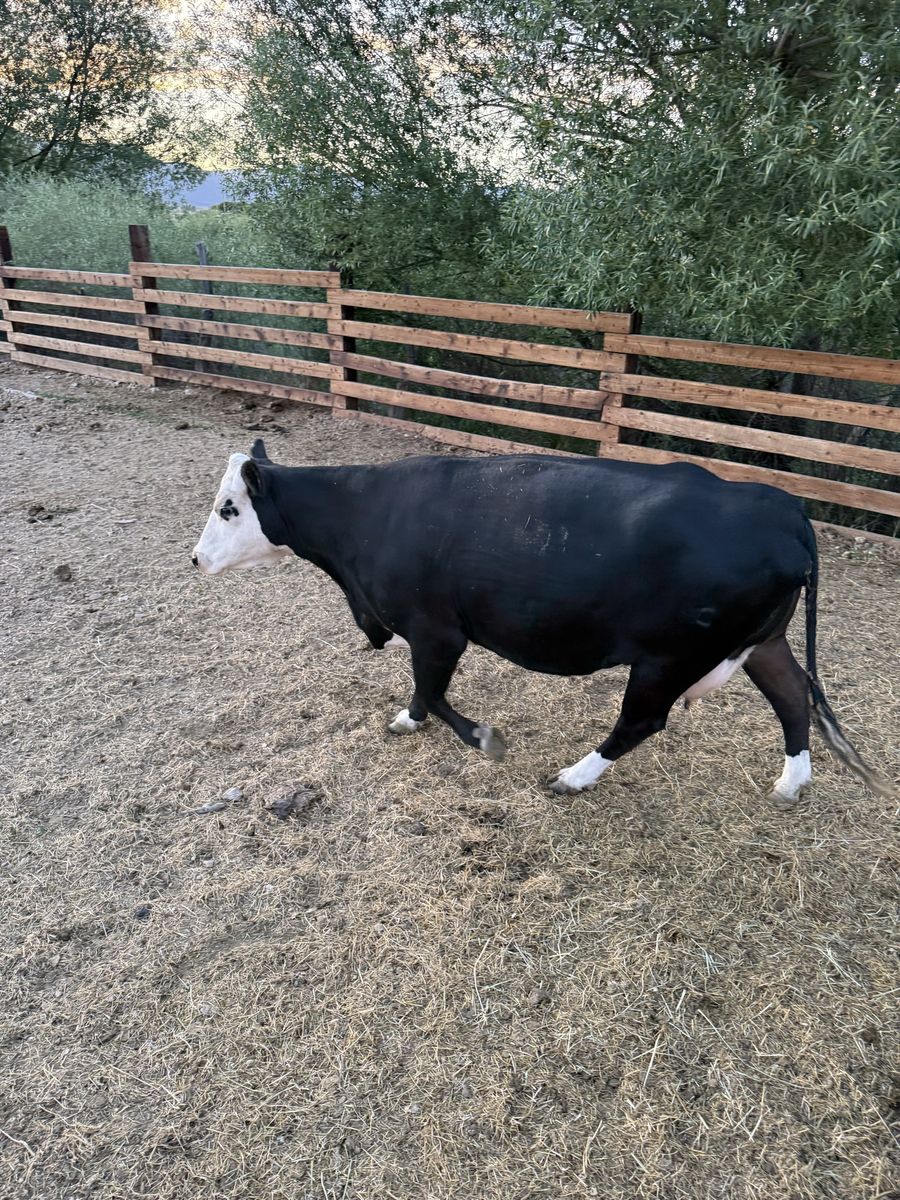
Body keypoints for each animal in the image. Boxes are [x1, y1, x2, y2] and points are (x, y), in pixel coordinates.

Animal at [191, 439, 891, 803]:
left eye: (229, 508)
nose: (194, 558)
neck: (366, 517)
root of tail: (783, 509)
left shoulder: (437, 630)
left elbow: (434, 691)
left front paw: (482, 738)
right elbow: (422, 693)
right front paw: (407, 721)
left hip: (669, 657)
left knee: (641, 721)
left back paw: (574, 776)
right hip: (762, 641)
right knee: (793, 694)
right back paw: (791, 781)